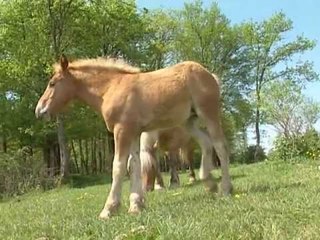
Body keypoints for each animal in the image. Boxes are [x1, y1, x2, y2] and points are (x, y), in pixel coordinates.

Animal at [34, 54, 232, 219]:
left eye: (52, 83)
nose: (39, 111)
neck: (110, 88)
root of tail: (209, 74)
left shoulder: (122, 130)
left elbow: (118, 166)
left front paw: (109, 209)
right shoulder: (135, 133)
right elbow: (134, 165)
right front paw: (136, 205)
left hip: (208, 113)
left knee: (220, 146)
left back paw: (226, 188)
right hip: (188, 122)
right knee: (206, 143)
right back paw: (209, 183)